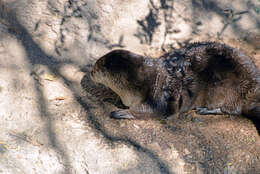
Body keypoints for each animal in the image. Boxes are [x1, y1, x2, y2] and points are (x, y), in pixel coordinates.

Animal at [90, 42, 260, 119]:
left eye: (98, 68)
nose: (90, 72)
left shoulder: (160, 94)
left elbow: (153, 110)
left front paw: (122, 112)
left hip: (229, 88)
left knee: (233, 109)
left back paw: (205, 110)